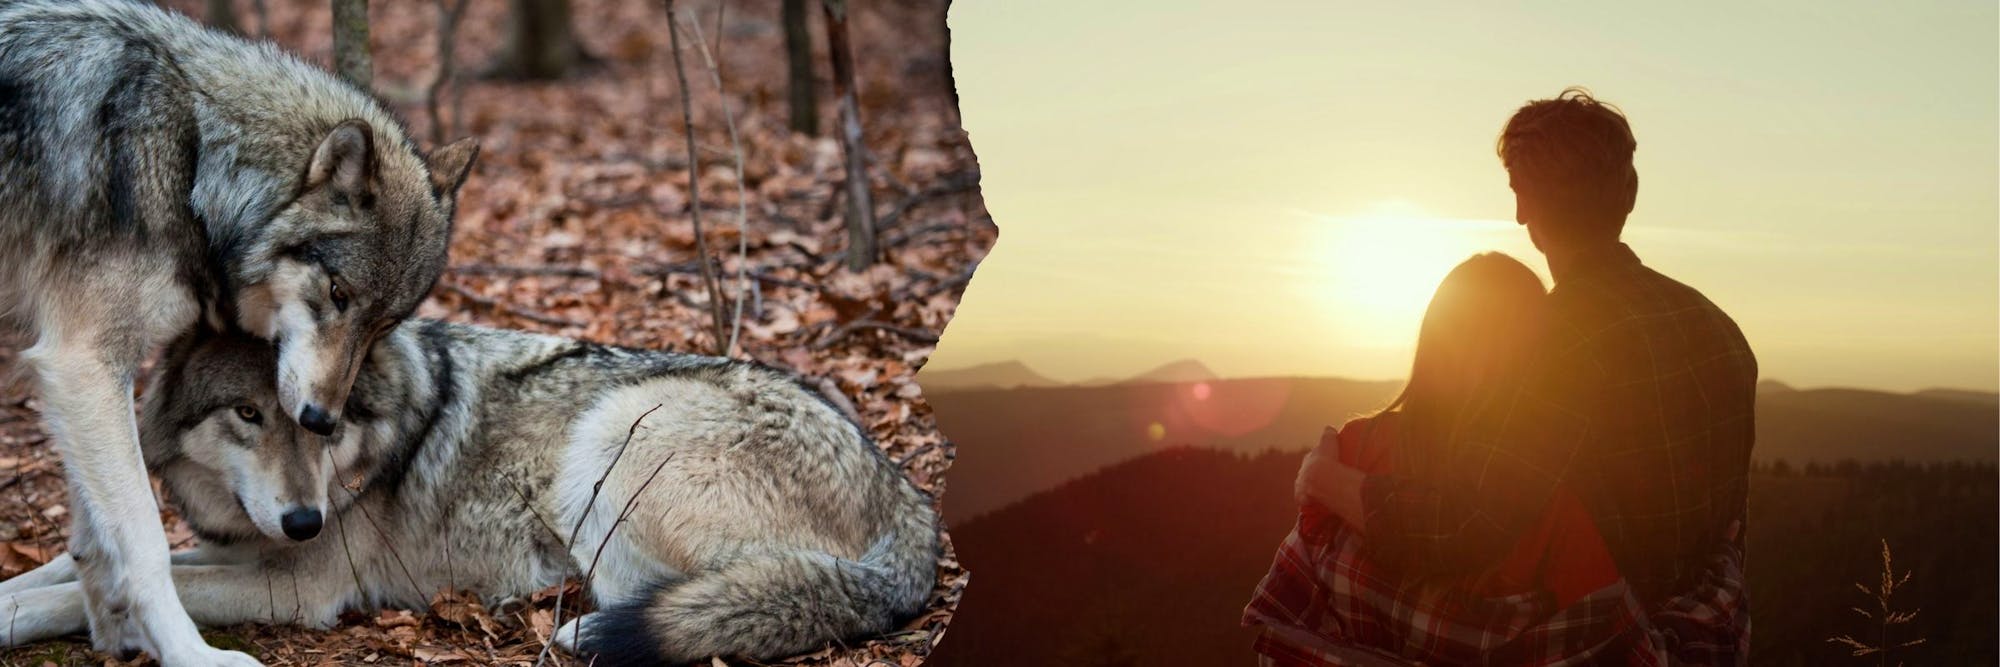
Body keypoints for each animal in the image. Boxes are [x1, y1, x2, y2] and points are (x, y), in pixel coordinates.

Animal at [0, 1, 477, 663]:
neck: (193, 158)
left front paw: (109, 630)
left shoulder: (82, 376)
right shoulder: (82, 360)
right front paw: (188, 652)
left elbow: (94, 541)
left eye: (386, 323)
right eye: (338, 294)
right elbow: (145, 543)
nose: (322, 420)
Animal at [0, 320, 943, 666]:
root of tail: (908, 499)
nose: (305, 519)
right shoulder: (242, 545)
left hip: (608, 440)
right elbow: (66, 569)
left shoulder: (299, 586)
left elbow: (104, 587)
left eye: (321, 420)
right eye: (247, 413)